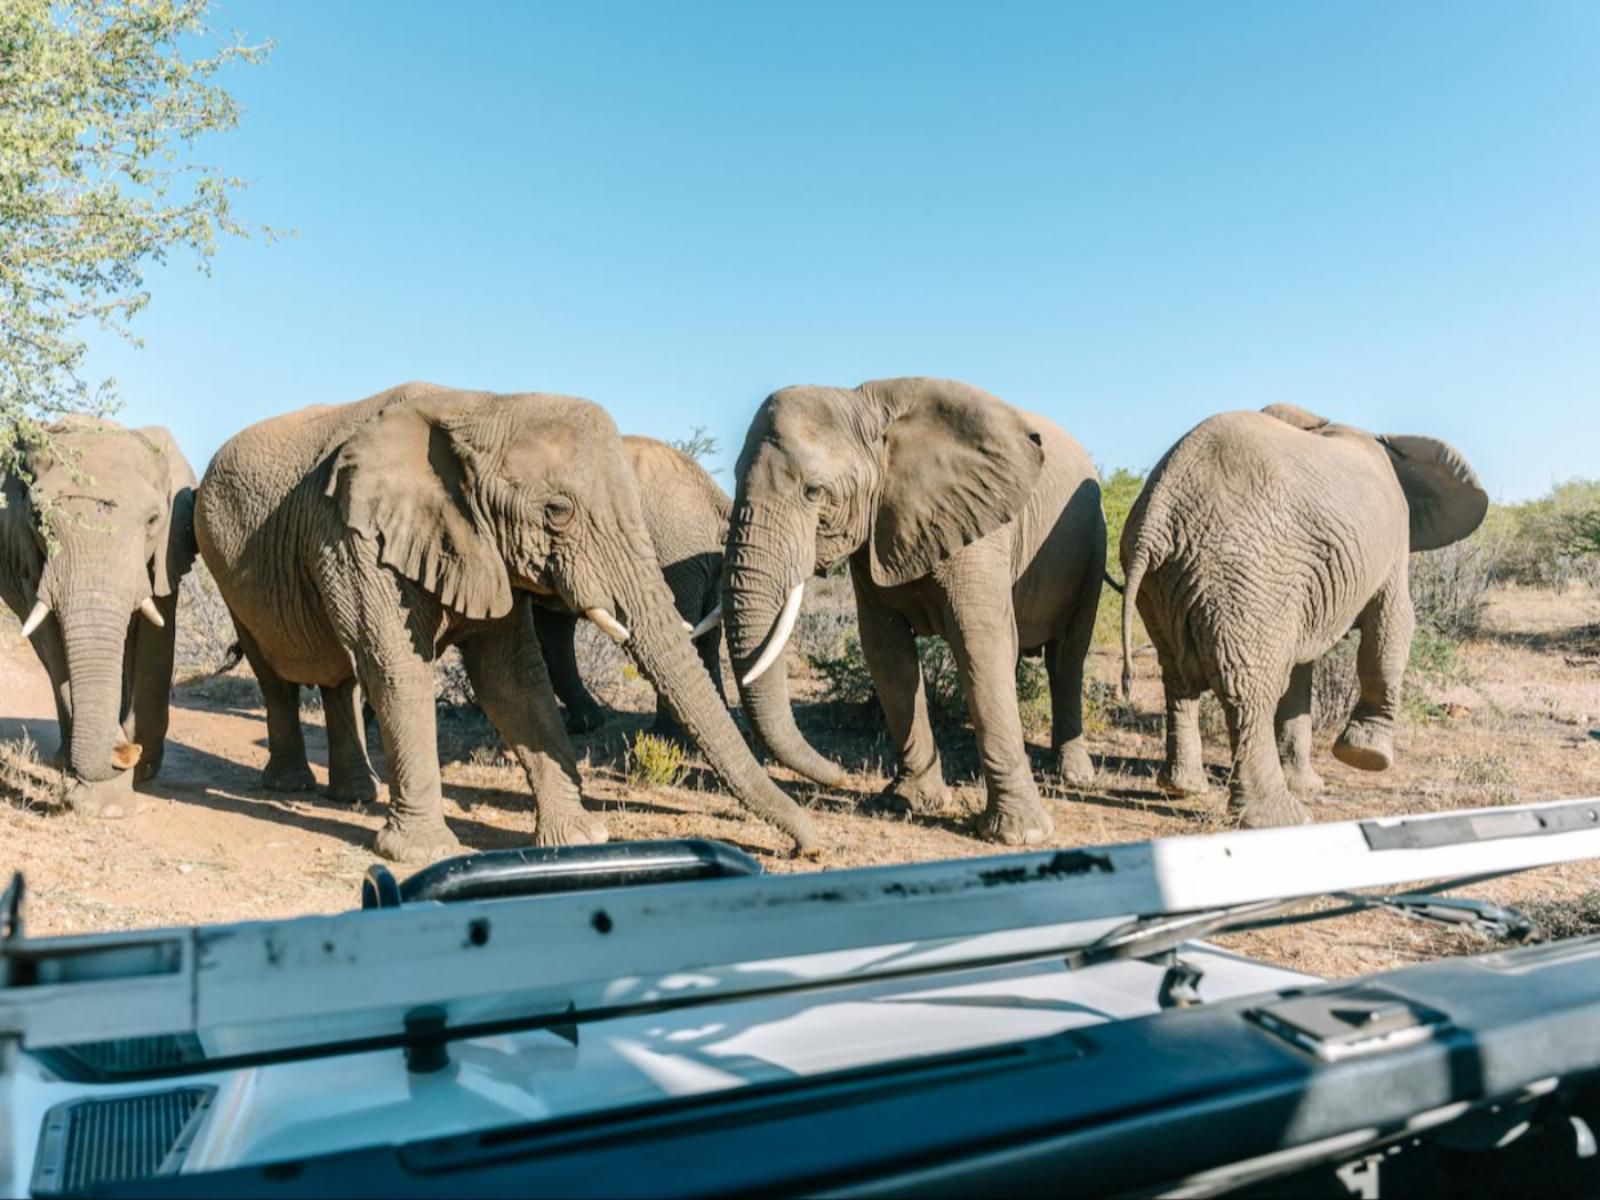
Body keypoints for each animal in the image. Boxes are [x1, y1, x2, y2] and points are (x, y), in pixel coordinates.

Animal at [0, 419, 198, 825]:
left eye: (154, 520)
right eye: (38, 519)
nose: (122, 752)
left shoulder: (164, 554)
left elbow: (154, 642)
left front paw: (135, 773)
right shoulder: (30, 559)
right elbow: (54, 646)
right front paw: (102, 801)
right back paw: (66, 759)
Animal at [534, 438, 729, 739]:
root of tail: (712, 491)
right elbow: (551, 626)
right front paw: (586, 725)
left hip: (674, 548)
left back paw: (665, 737)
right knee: (707, 636)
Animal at [723, 376, 1100, 844]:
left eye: (814, 491)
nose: (839, 776)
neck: (865, 408)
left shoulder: (979, 524)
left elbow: (980, 645)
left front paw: (1020, 835)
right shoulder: (875, 531)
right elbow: (887, 653)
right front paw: (907, 802)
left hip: (1094, 546)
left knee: (1067, 659)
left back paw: (1073, 776)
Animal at [1126, 404, 1484, 825]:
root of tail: (1159, 511)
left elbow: (1301, 667)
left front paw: (1309, 784)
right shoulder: (1393, 542)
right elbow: (1393, 625)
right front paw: (1367, 758)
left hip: (1170, 584)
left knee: (1178, 679)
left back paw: (1183, 788)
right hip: (1245, 575)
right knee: (1249, 693)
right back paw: (1280, 817)